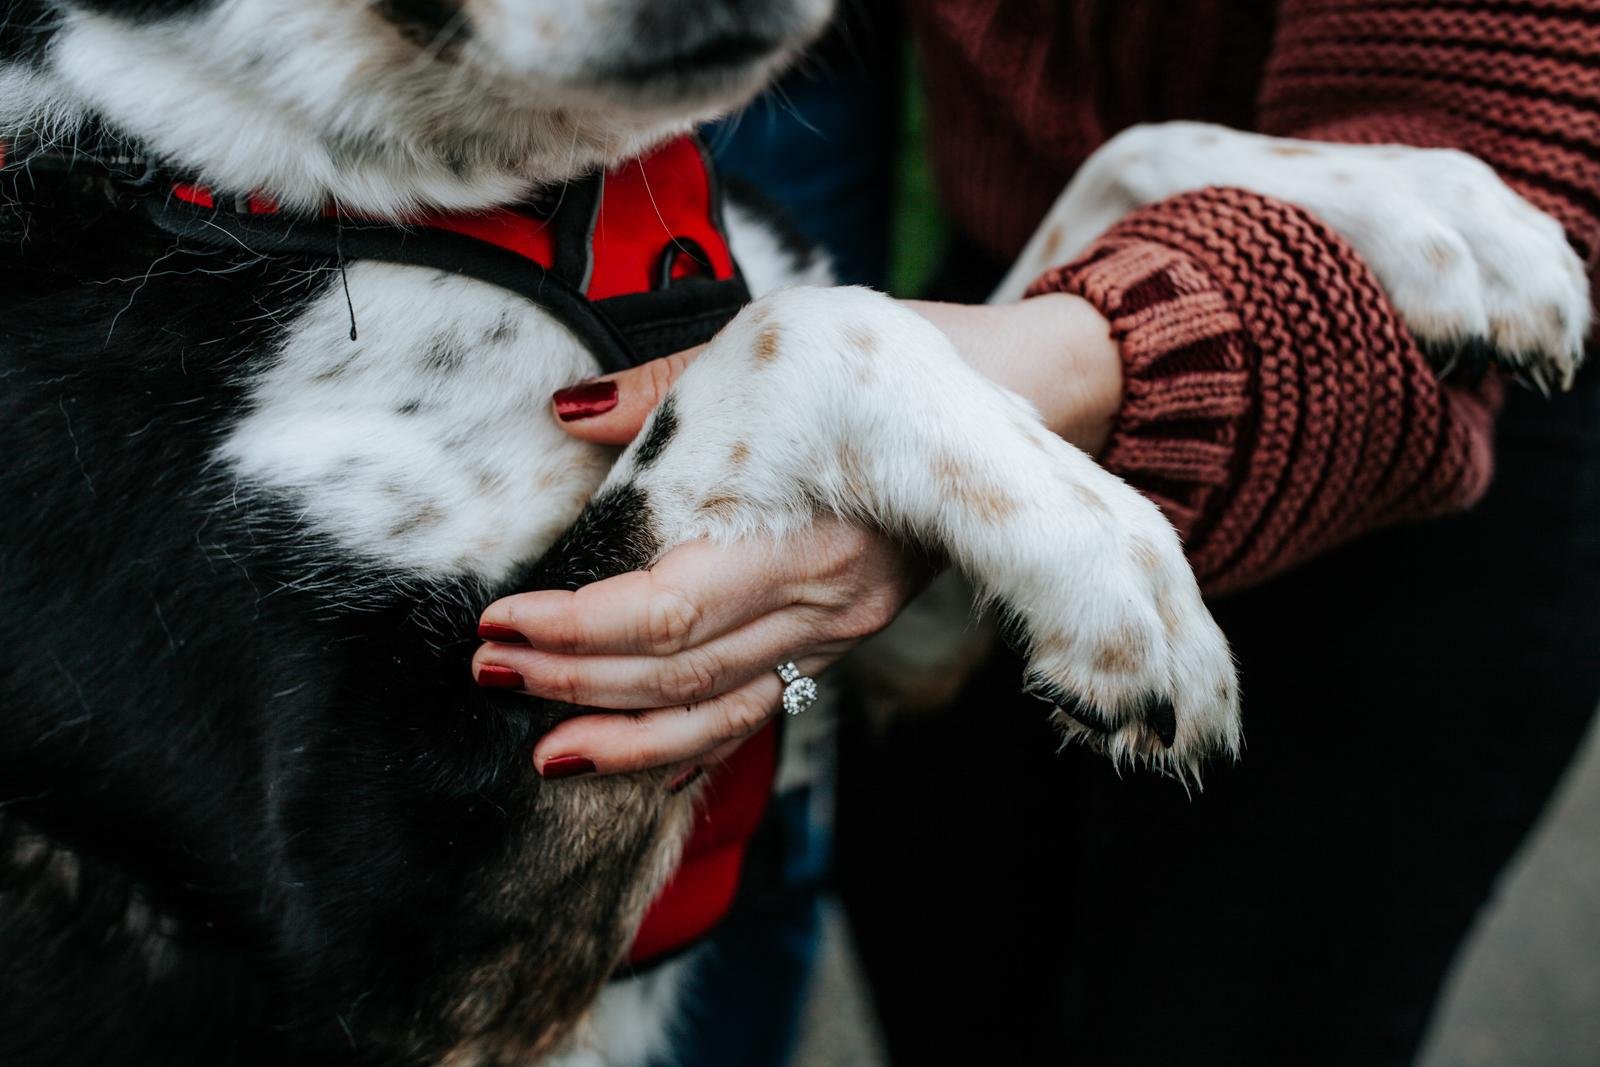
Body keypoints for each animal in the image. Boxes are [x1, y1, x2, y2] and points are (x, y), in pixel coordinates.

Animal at [0, 2, 1580, 1067]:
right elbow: (811, 323)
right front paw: (1113, 564)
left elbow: (1112, 167)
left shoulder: (904, 640)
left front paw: (1445, 218)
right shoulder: (398, 912)